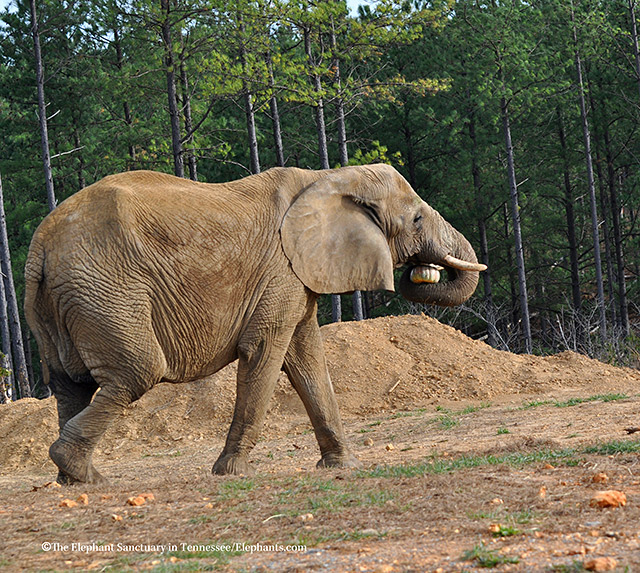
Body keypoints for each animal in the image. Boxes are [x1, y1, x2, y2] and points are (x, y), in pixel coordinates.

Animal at [25, 164, 484, 482]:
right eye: (418, 220)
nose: (421, 271)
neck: (327, 178)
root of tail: (41, 244)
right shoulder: (280, 271)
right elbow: (265, 351)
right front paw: (232, 472)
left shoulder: (296, 276)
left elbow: (307, 358)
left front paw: (344, 466)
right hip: (106, 289)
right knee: (136, 372)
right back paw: (85, 475)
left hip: (61, 301)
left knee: (68, 384)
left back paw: (75, 479)